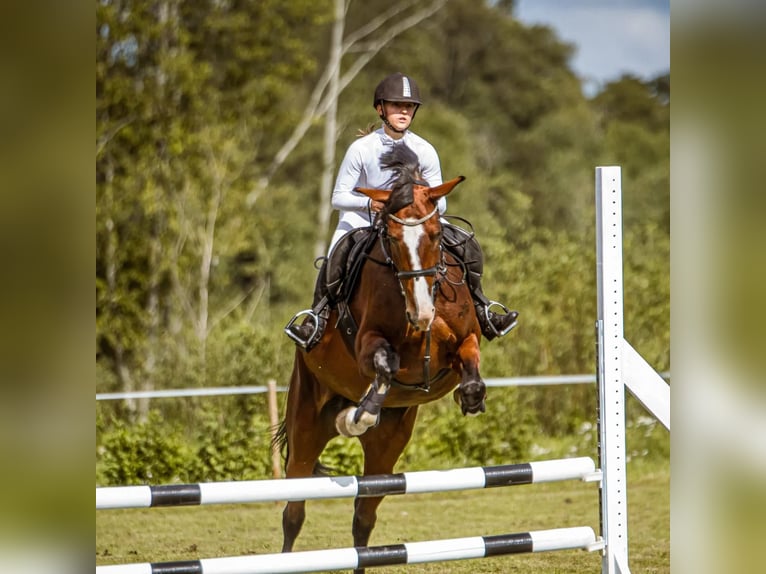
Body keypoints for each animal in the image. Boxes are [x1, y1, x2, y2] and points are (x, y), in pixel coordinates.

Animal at [280, 143, 486, 572]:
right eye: (391, 238)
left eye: (436, 234)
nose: (421, 314)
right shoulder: (366, 345)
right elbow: (384, 365)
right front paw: (359, 415)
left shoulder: (466, 340)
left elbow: (471, 364)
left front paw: (471, 398)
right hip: (305, 426)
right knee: (294, 511)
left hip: (387, 450)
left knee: (364, 516)